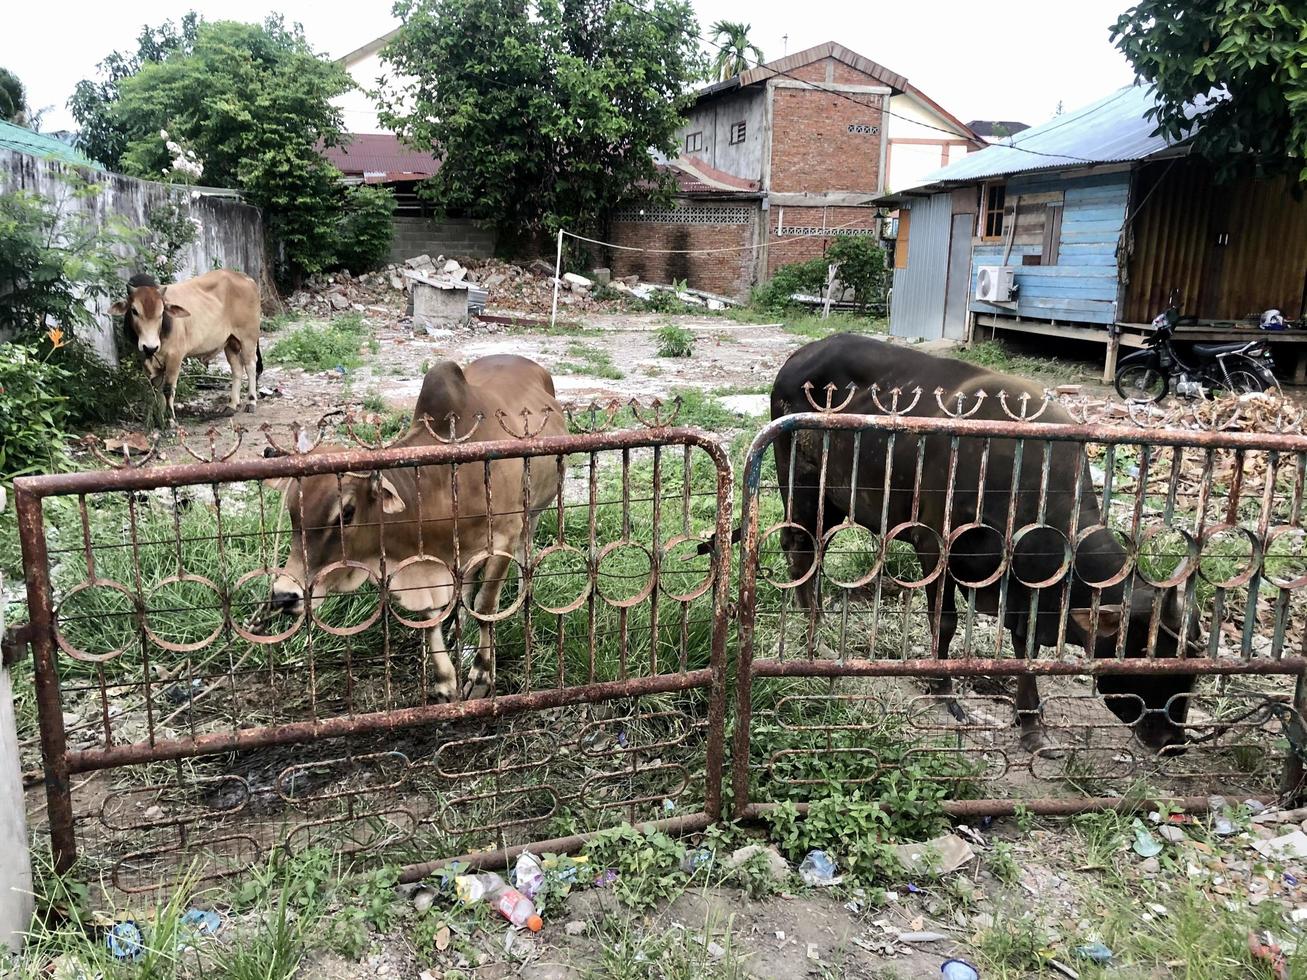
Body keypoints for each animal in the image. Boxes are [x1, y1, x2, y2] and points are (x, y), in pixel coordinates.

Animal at [111, 270, 261, 423]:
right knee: (237, 369)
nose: (150, 347)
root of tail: (246, 278)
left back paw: (251, 401)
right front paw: (161, 418)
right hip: (230, 342)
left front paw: (171, 419)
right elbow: (158, 391)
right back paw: (232, 405)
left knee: (250, 365)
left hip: (248, 338)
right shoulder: (146, 360)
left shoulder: (175, 357)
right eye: (134, 311)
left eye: (161, 312)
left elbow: (168, 389)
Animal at [266, 358, 567, 700]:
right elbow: (433, 614)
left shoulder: (503, 538)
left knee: (523, 559)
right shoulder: (426, 561)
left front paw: (480, 676)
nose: (284, 596)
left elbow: (485, 604)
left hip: (534, 513)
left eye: (346, 512)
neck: (446, 484)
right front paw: (445, 680)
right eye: (292, 512)